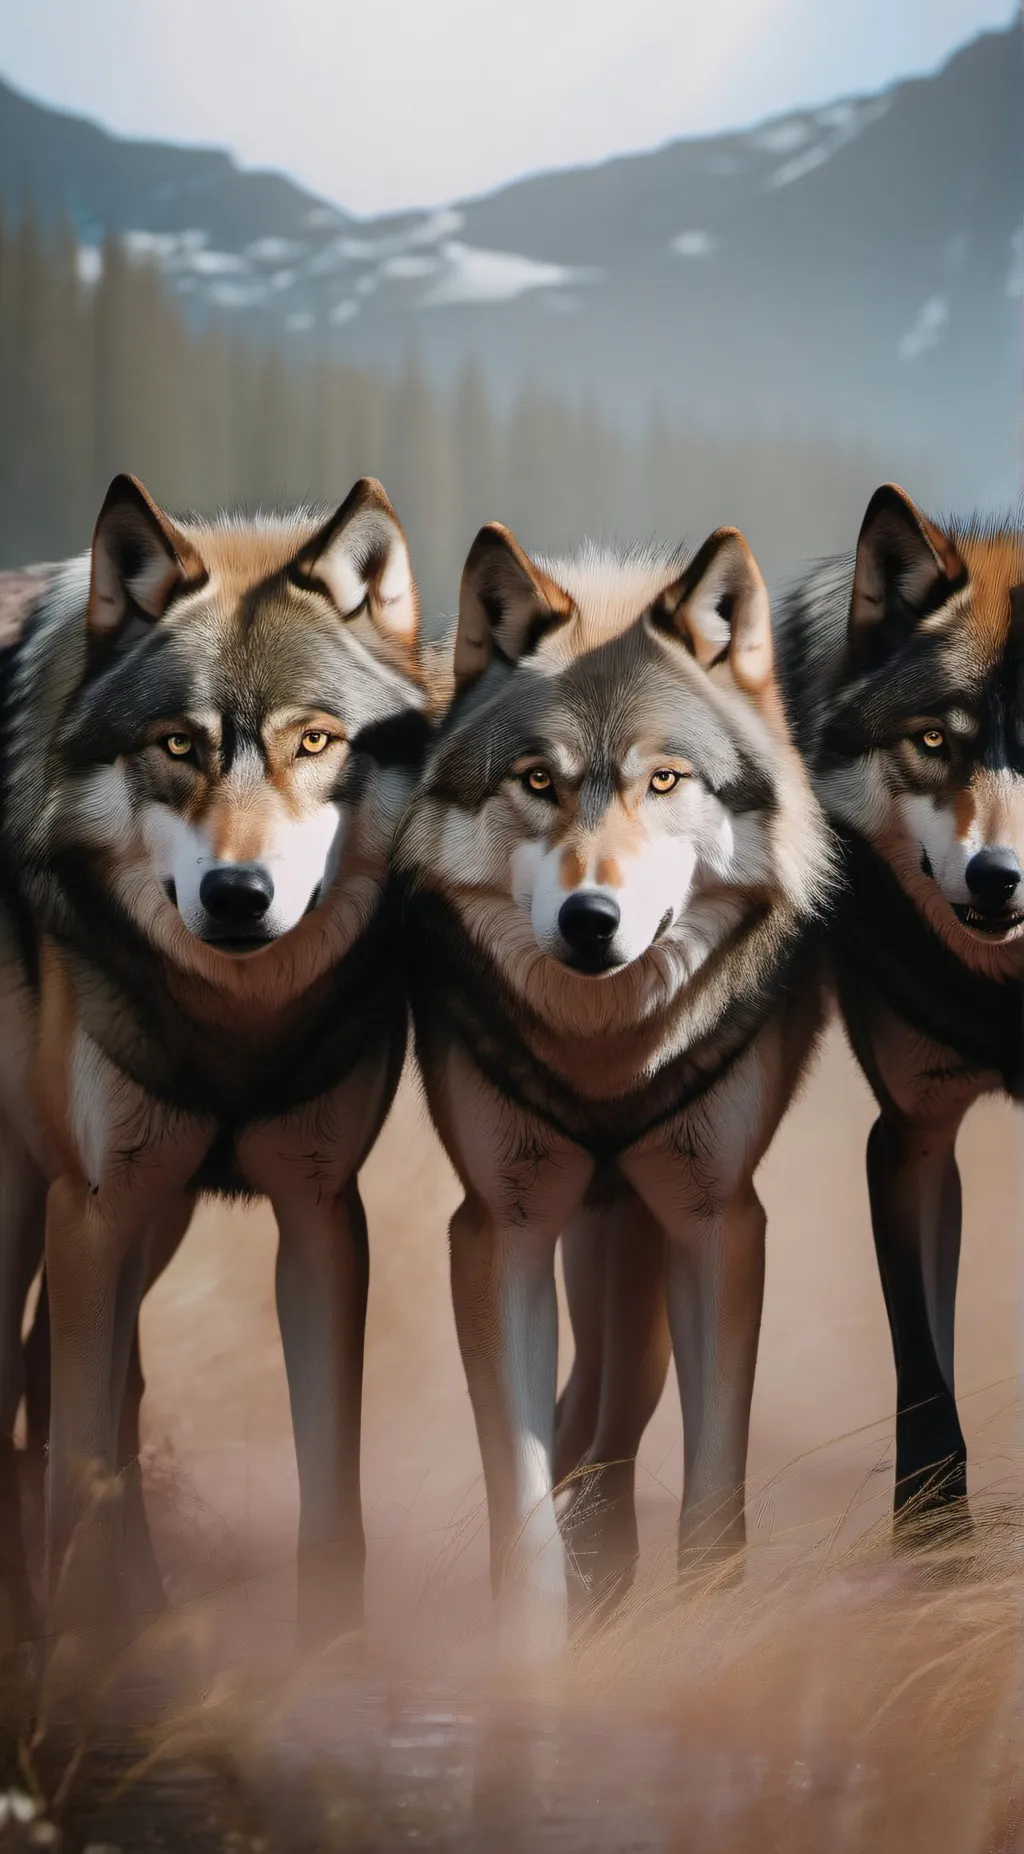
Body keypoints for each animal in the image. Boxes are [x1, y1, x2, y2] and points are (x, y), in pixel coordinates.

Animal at [0, 472, 434, 1640]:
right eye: (178, 746)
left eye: (316, 743)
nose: (239, 895)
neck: (238, 1027)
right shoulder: (93, 1211)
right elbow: (77, 1467)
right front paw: (85, 1650)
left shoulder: (320, 1212)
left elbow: (333, 1498)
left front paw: (332, 1655)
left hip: (156, 1220)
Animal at [394, 520, 831, 1647]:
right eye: (537, 782)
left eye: (665, 782)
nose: (591, 919)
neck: (607, 1054)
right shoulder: (498, 1227)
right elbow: (519, 1496)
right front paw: (536, 1654)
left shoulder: (716, 1220)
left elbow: (713, 1491)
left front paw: (704, 1639)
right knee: (587, 1408)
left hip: (635, 1223)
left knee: (615, 1397)